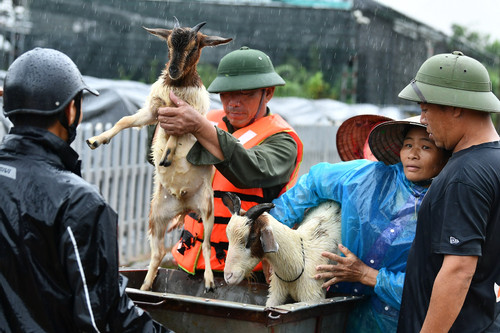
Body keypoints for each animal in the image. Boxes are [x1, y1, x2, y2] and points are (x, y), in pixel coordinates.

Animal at [85, 20, 232, 290]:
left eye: (194, 46)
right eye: (169, 44)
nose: (172, 70)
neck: (177, 86)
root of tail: (184, 204)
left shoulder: (186, 116)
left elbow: (174, 134)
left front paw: (166, 156)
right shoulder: (153, 112)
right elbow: (125, 120)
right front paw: (96, 140)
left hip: (207, 210)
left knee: (206, 245)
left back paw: (208, 282)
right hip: (156, 217)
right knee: (158, 252)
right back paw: (144, 287)